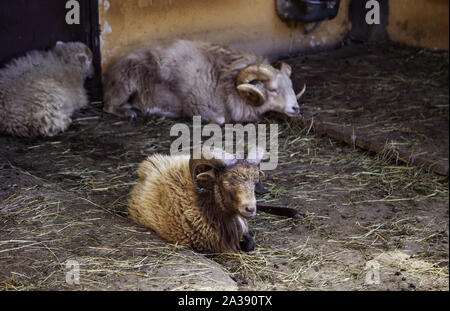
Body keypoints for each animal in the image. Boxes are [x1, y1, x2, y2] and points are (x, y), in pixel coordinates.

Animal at [103, 39, 306, 125]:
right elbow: (220, 120)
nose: (296, 109)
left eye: (290, 86)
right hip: (124, 84)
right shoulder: (198, 109)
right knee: (108, 106)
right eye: (272, 89)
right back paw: (129, 113)